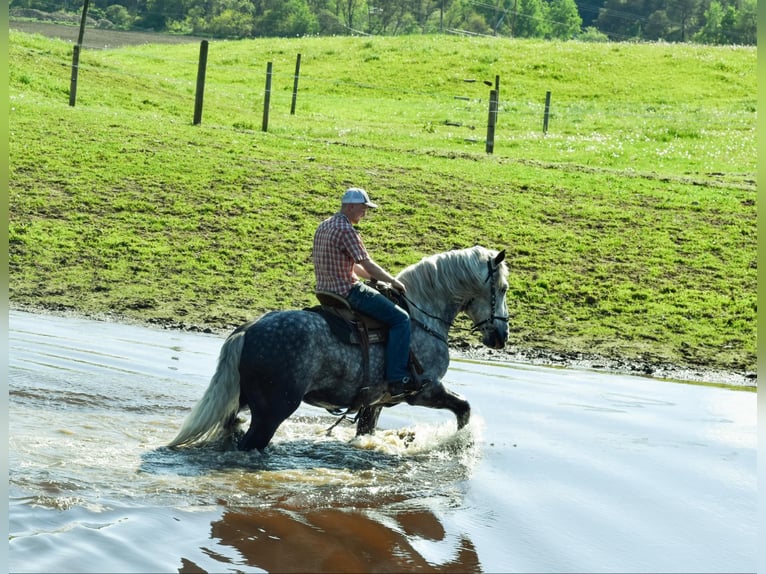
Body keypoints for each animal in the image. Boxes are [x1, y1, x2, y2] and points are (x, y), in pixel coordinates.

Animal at [167, 245, 509, 452]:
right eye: (503, 288)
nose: (502, 336)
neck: (420, 315)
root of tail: (248, 330)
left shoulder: (375, 402)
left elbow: (366, 431)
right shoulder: (423, 390)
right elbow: (464, 408)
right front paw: (458, 443)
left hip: (243, 402)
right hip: (273, 411)